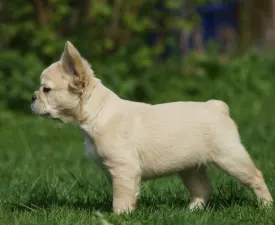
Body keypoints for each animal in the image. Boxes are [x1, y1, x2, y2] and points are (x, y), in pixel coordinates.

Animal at [30, 41, 274, 214]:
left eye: (46, 89)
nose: (32, 97)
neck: (98, 112)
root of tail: (216, 106)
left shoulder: (124, 168)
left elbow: (121, 196)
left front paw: (120, 216)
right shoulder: (114, 172)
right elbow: (123, 193)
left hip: (230, 157)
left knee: (255, 177)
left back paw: (266, 206)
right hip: (190, 167)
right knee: (203, 189)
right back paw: (190, 212)